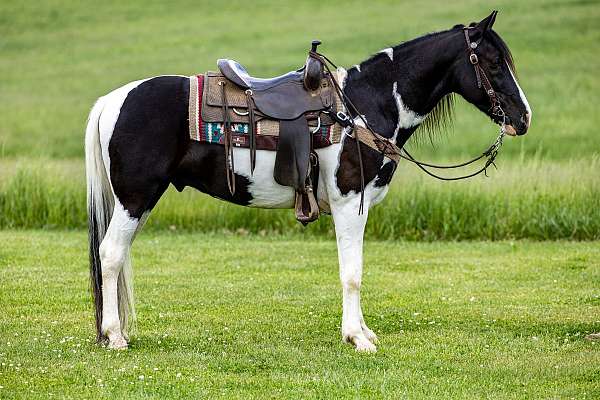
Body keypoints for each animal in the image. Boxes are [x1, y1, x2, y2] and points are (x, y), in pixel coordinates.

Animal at [84, 11, 528, 354]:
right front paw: (356, 339)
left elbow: (355, 267)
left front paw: (363, 332)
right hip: (135, 198)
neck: (363, 108)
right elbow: (352, 272)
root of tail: (112, 100)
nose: (523, 118)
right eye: (492, 63)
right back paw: (114, 337)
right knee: (111, 254)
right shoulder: (350, 202)